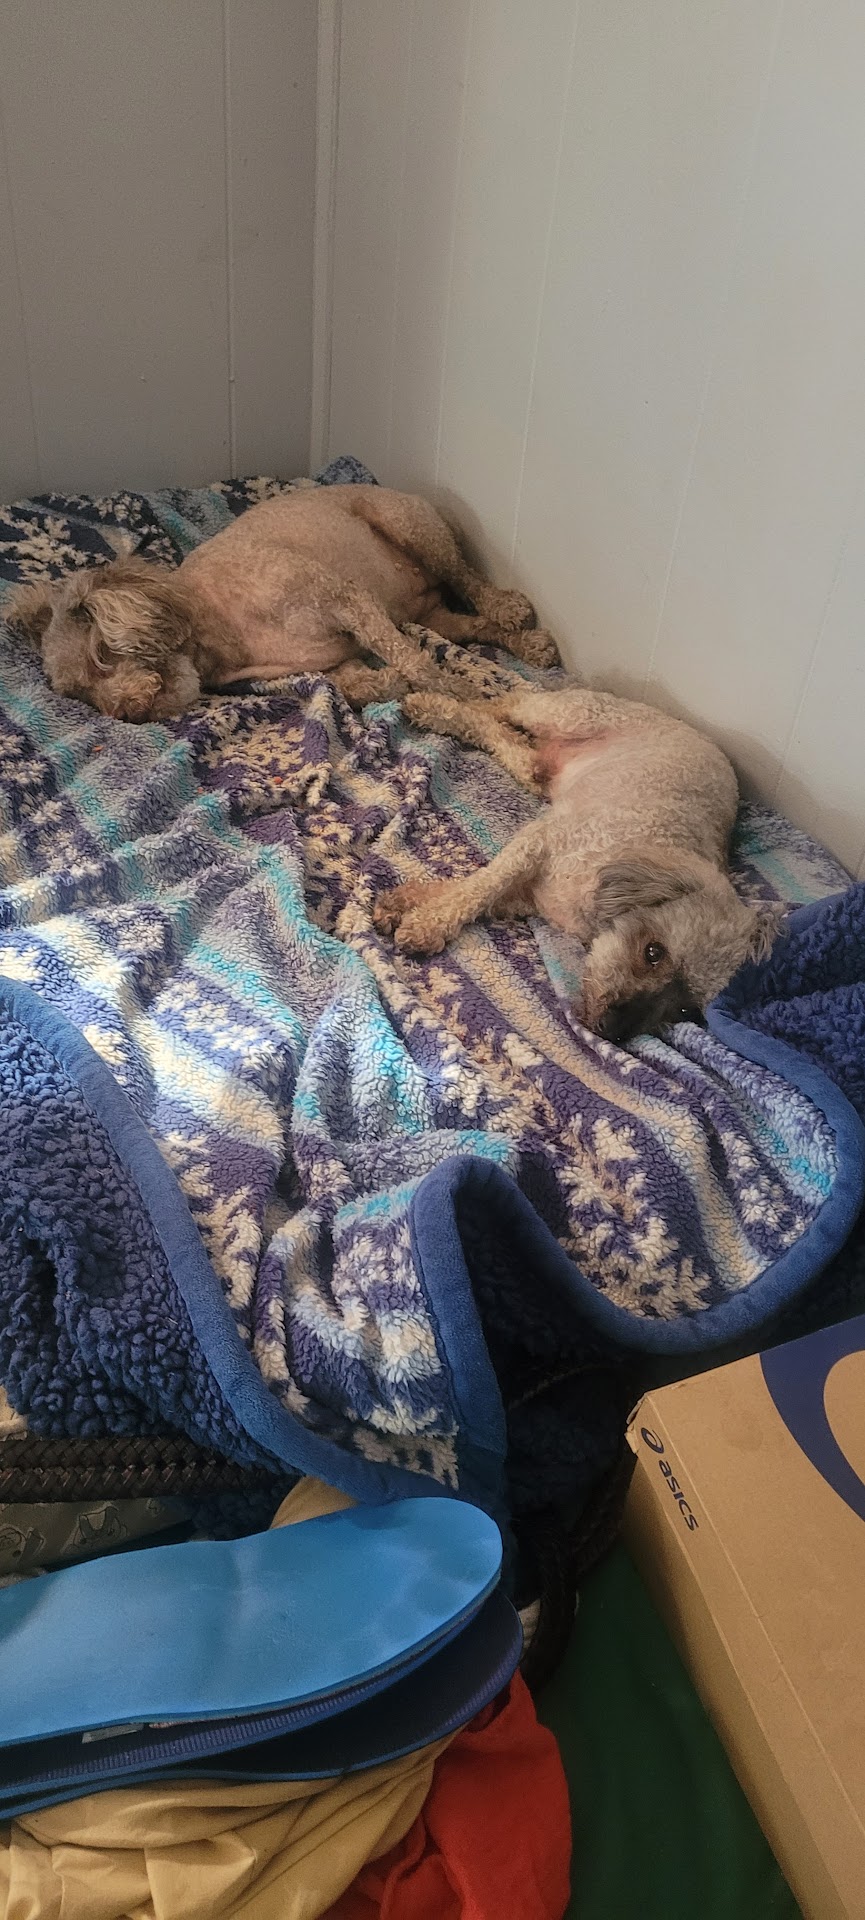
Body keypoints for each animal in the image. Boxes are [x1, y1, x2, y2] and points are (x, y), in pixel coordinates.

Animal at [5, 485, 558, 723]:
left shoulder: (347, 598)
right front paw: (393, 686)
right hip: (430, 613)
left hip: (411, 527)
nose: (126, 714)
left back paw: (509, 608)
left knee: (469, 579)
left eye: (101, 655)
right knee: (470, 625)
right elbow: (364, 684)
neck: (219, 625)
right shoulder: (338, 661)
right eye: (77, 696)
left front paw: (471, 700)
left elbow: (421, 664)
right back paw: (531, 644)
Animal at [373, 683, 782, 1042]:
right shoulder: (540, 841)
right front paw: (426, 926)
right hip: (569, 713)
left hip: (541, 770)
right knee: (508, 700)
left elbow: (472, 890)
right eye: (653, 952)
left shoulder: (532, 894)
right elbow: (480, 888)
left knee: (515, 747)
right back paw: (433, 699)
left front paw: (406, 903)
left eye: (685, 1010)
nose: (613, 1033)